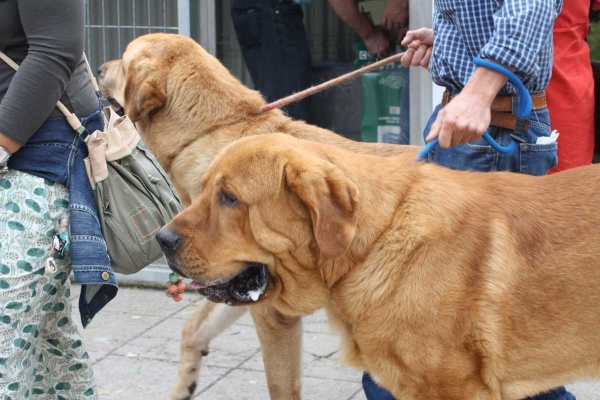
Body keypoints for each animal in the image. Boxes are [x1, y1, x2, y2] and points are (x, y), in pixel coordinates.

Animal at [97, 32, 418, 398]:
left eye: (124, 60)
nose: (99, 67)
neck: (214, 130)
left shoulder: (272, 312)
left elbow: (279, 384)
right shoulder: (234, 283)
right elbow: (193, 329)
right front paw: (183, 385)